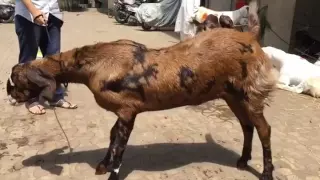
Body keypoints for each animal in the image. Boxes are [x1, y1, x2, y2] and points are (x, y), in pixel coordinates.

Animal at [6, 0, 276, 179]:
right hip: (232, 94)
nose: (9, 96)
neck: (94, 64)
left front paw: (111, 171)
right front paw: (102, 165)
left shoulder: (128, 110)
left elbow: (120, 147)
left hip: (252, 92)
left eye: (17, 81)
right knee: (247, 125)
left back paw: (266, 172)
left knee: (264, 128)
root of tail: (251, 38)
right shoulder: (123, 109)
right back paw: (243, 160)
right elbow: (112, 136)